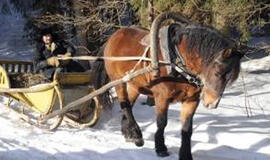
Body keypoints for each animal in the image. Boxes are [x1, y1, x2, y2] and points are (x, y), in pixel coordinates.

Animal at [92, 11, 243, 159]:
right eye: (218, 72)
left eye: (231, 79)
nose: (212, 103)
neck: (176, 60)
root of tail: (112, 38)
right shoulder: (162, 97)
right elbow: (162, 122)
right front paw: (160, 148)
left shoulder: (191, 100)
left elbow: (187, 129)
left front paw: (185, 154)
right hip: (119, 82)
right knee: (125, 104)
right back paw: (136, 134)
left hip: (135, 85)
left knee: (128, 105)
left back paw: (128, 132)